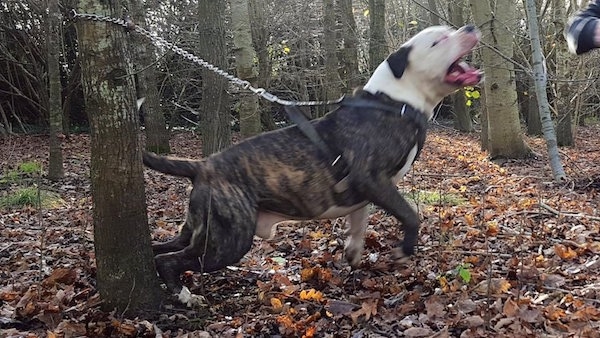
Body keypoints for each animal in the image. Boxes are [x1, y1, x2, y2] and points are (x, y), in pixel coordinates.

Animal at [143, 24, 480, 296]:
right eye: (438, 41)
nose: (469, 27)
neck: (395, 101)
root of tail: (201, 165)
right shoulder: (371, 177)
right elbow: (410, 215)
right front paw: (405, 249)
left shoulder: (363, 191)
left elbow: (359, 222)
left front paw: (353, 253)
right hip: (227, 240)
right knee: (171, 260)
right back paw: (183, 295)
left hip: (200, 228)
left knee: (162, 250)